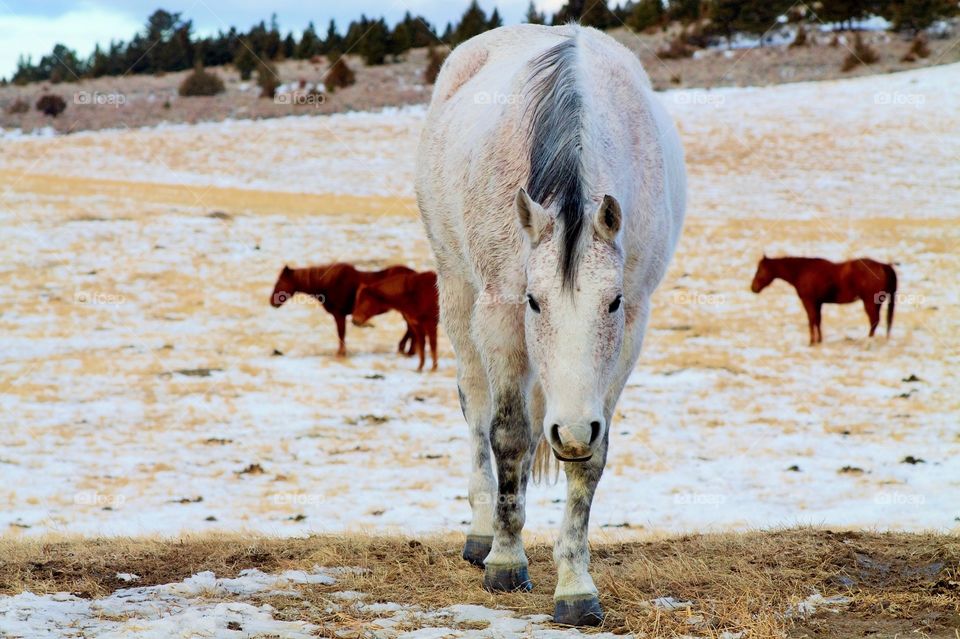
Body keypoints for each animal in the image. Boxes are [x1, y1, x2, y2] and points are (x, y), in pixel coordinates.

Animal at [270, 263, 415, 357]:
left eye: (280, 282)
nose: (272, 301)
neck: (329, 284)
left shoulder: (339, 315)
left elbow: (341, 334)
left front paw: (341, 353)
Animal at [416, 24, 685, 625]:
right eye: (533, 302)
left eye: (612, 303)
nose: (572, 430)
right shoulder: (499, 310)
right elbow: (509, 435)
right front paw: (506, 561)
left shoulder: (632, 327)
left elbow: (590, 463)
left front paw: (575, 587)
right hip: (456, 289)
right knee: (477, 407)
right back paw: (481, 533)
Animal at [751, 255, 897, 345]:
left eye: (760, 270)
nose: (753, 288)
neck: (802, 271)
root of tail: (883, 265)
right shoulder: (818, 303)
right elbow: (818, 320)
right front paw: (819, 341)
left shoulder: (808, 301)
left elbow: (811, 320)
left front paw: (811, 342)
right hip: (877, 303)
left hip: (869, 303)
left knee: (874, 321)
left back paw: (867, 343)